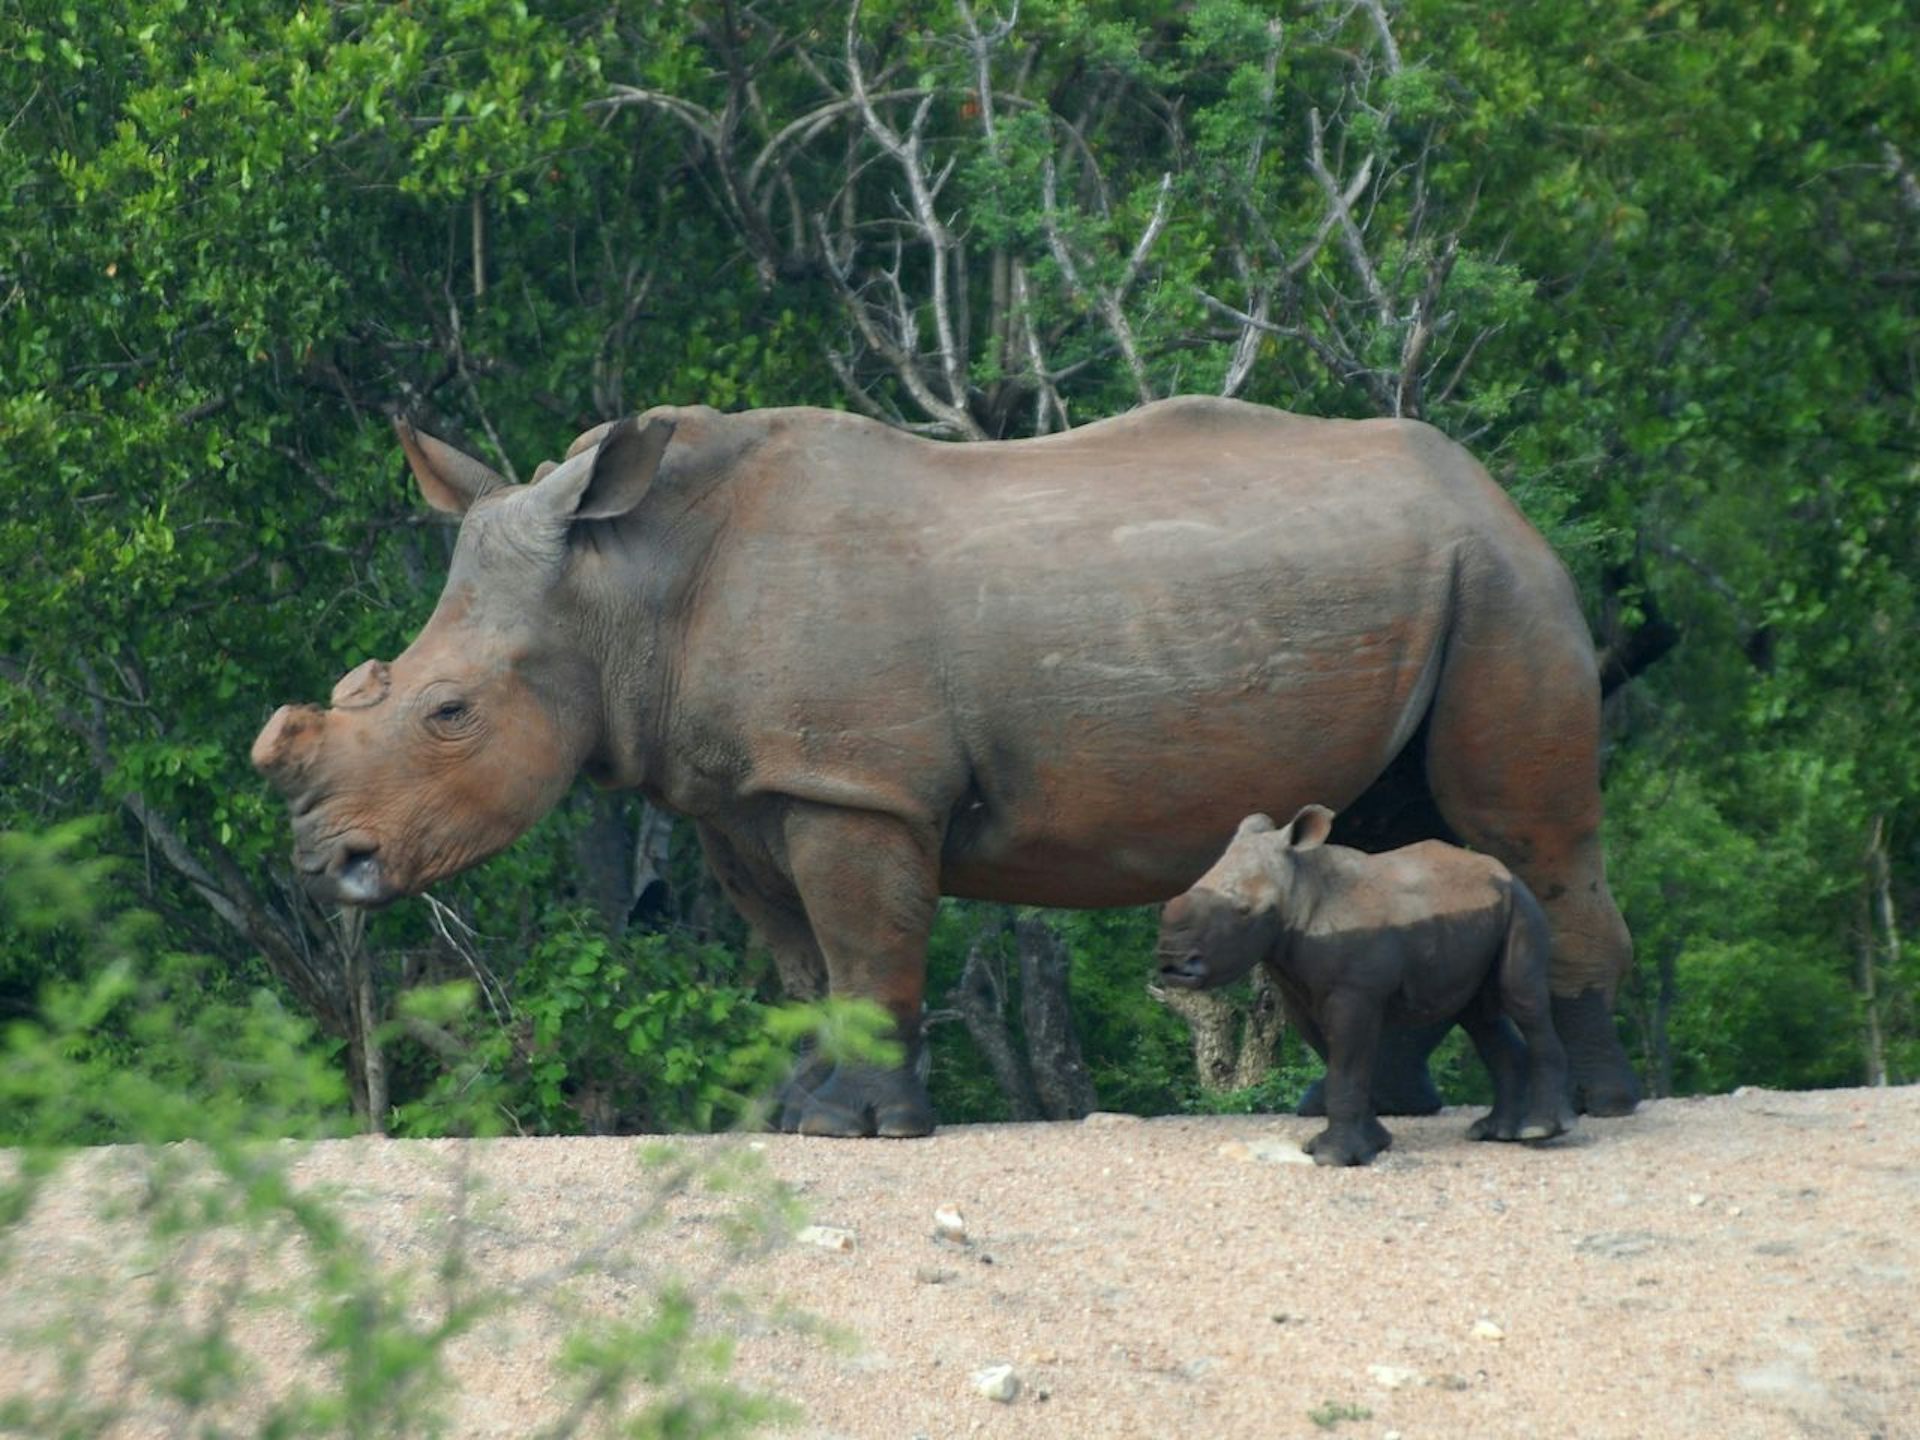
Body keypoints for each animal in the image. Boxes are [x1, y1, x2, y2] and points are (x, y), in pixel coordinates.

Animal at [251, 396, 1638, 1135]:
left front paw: (861, 1129)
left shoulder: (852, 785)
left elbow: (864, 949)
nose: (327, 864)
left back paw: (1591, 1112)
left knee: (1523, 830)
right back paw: (1367, 1107)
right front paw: (797, 1117)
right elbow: (802, 965)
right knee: (1398, 825)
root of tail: (1498, 492)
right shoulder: (745, 794)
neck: (631, 590)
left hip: (1502, 580)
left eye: (447, 711)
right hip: (1436, 577)